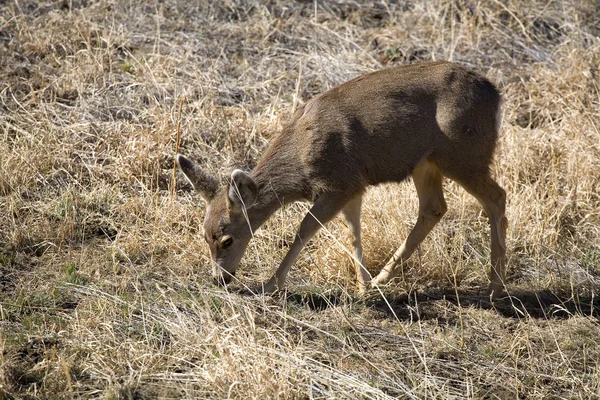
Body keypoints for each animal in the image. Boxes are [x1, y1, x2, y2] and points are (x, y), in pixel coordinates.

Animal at [177, 61, 506, 298]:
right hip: (426, 163)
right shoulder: (354, 186)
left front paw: (271, 285)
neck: (301, 160)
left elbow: (305, 228)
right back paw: (381, 279)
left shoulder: (339, 183)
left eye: (227, 239)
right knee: (434, 207)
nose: (219, 278)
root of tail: (495, 95)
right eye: (203, 235)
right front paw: (362, 287)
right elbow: (354, 232)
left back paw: (496, 287)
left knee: (496, 196)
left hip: (463, 154)